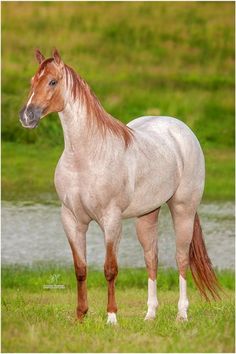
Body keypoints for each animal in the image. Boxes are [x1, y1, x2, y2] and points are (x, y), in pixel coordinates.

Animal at [19, 49, 220, 324]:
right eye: (32, 81)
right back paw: (150, 315)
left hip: (183, 209)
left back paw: (181, 315)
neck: (85, 157)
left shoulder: (111, 220)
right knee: (151, 259)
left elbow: (110, 269)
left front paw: (112, 317)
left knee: (181, 259)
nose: (27, 116)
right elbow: (80, 269)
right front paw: (80, 316)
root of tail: (181, 130)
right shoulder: (71, 219)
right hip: (147, 215)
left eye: (52, 82)